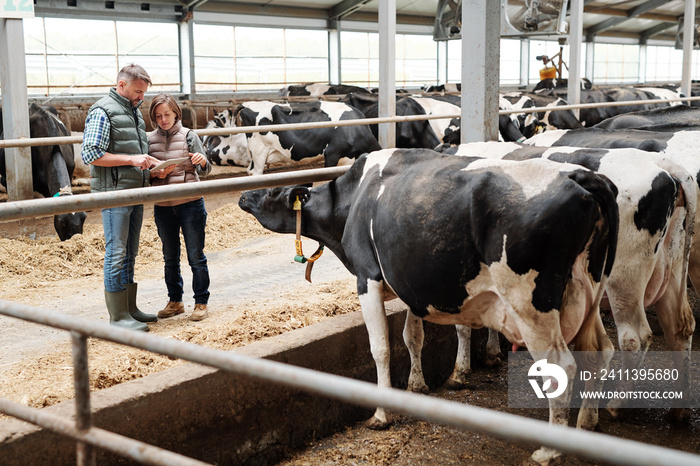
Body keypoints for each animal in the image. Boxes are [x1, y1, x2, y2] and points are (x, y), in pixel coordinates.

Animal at [239, 147, 616, 464]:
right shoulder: (411, 285)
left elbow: (381, 348)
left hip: (530, 304)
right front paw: (416, 387)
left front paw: (382, 413)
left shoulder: (367, 277)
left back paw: (550, 450)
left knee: (562, 365)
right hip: (589, 292)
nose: (244, 195)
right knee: (599, 350)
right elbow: (412, 337)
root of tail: (579, 176)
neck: (351, 200)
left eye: (272, 193)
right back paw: (587, 424)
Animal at [440, 140, 692, 416]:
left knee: (635, 337)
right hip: (672, 269)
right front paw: (492, 353)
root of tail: (663, 166)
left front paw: (459, 373)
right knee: (678, 328)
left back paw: (616, 404)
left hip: (625, 278)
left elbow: (462, 324)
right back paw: (679, 409)